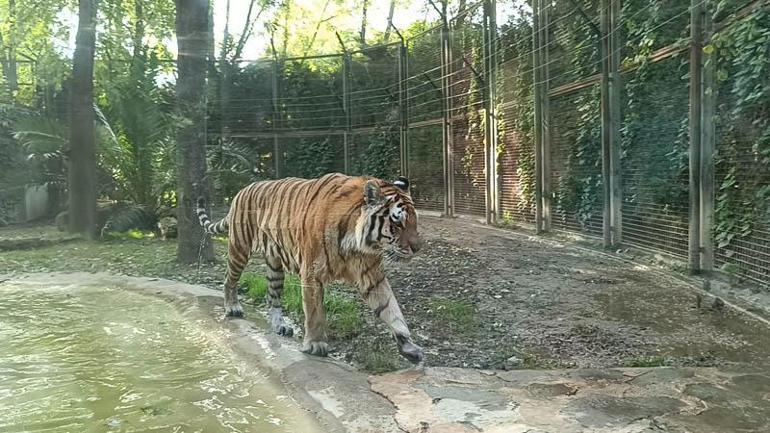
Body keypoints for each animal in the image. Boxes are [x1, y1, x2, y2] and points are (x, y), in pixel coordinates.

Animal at [195, 171, 424, 362]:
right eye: (397, 223)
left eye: (414, 221)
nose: (417, 248)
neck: (357, 243)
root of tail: (241, 191)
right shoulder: (312, 272)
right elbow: (314, 311)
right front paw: (315, 344)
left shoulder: (371, 275)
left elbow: (391, 309)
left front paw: (408, 346)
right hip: (240, 248)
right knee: (229, 280)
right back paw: (232, 307)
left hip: (275, 266)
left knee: (272, 296)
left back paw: (280, 325)